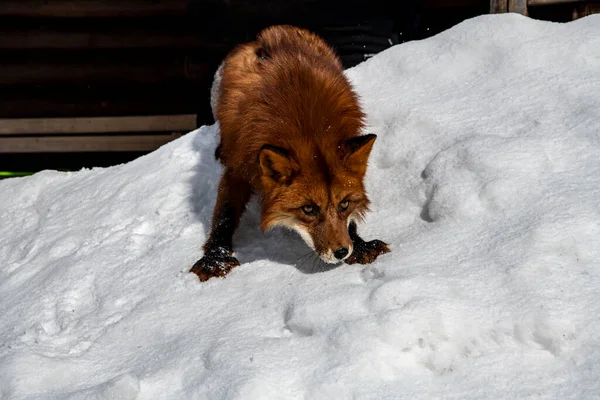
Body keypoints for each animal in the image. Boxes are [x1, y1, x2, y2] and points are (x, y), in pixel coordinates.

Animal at [190, 25, 392, 282]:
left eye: (344, 204)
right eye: (308, 209)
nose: (341, 252)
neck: (306, 123)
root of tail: (271, 32)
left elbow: (350, 223)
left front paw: (360, 244)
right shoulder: (239, 166)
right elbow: (224, 215)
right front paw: (216, 258)